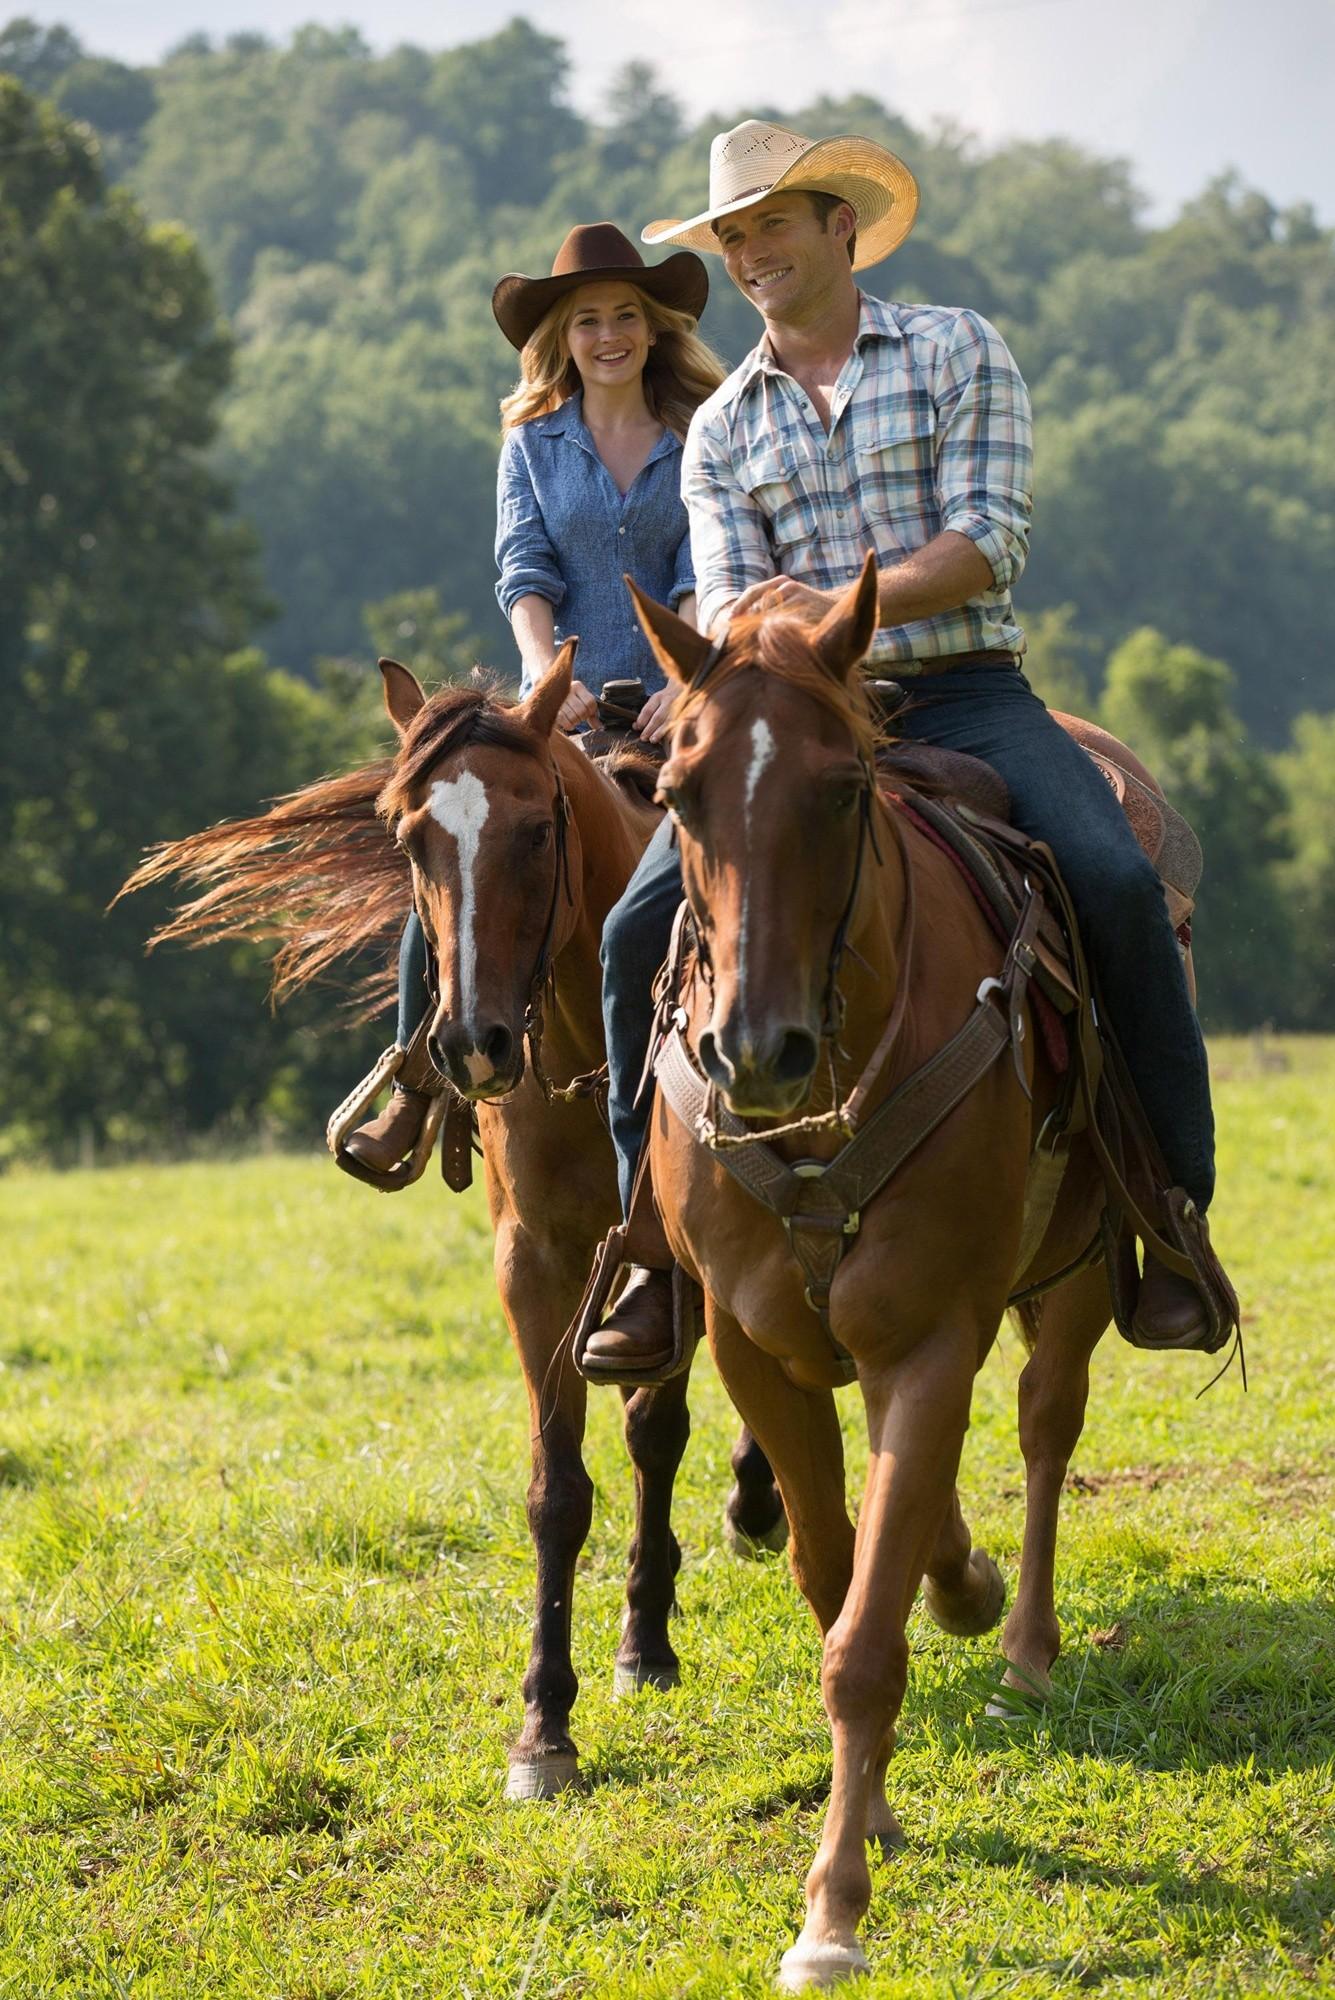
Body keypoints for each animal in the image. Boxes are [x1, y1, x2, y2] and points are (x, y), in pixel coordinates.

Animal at [122, 652, 783, 1800]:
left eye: (535, 828)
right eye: (410, 839)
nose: (472, 1043)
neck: (586, 1038)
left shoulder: (671, 1261)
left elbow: (657, 1430)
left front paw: (642, 1639)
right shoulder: (535, 1265)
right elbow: (558, 1488)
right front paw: (545, 1728)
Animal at [627, 572, 1135, 1992]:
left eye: (845, 784)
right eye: (674, 790)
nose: (755, 1050)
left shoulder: (929, 1343)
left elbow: (863, 1643)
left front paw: (832, 1911)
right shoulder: (757, 1347)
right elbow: (831, 1570)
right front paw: (877, 1816)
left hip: (1078, 1277)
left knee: (1044, 1427)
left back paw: (1019, 1642)